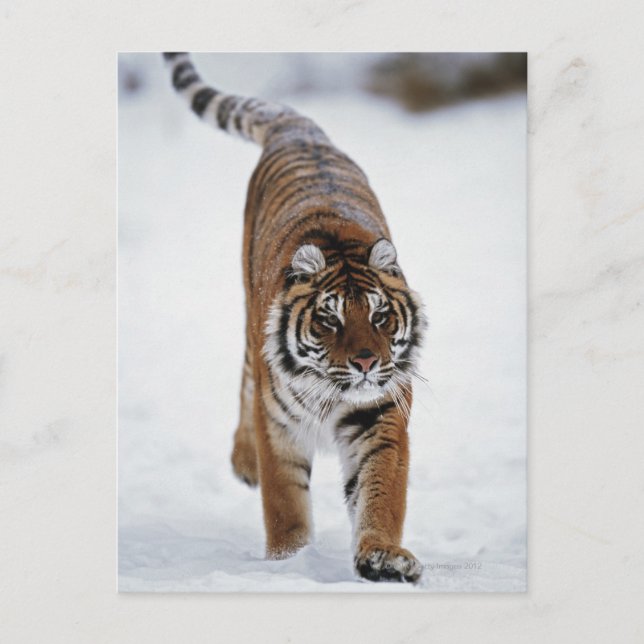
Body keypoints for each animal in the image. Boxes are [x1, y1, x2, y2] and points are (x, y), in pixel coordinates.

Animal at [164, 53, 426, 583]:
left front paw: (383, 556)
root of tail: (302, 132)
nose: (366, 364)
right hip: (250, 322)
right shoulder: (278, 426)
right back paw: (243, 462)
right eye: (330, 321)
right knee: (243, 379)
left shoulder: (381, 413)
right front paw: (288, 563)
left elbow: (382, 491)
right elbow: (284, 503)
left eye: (380, 317)